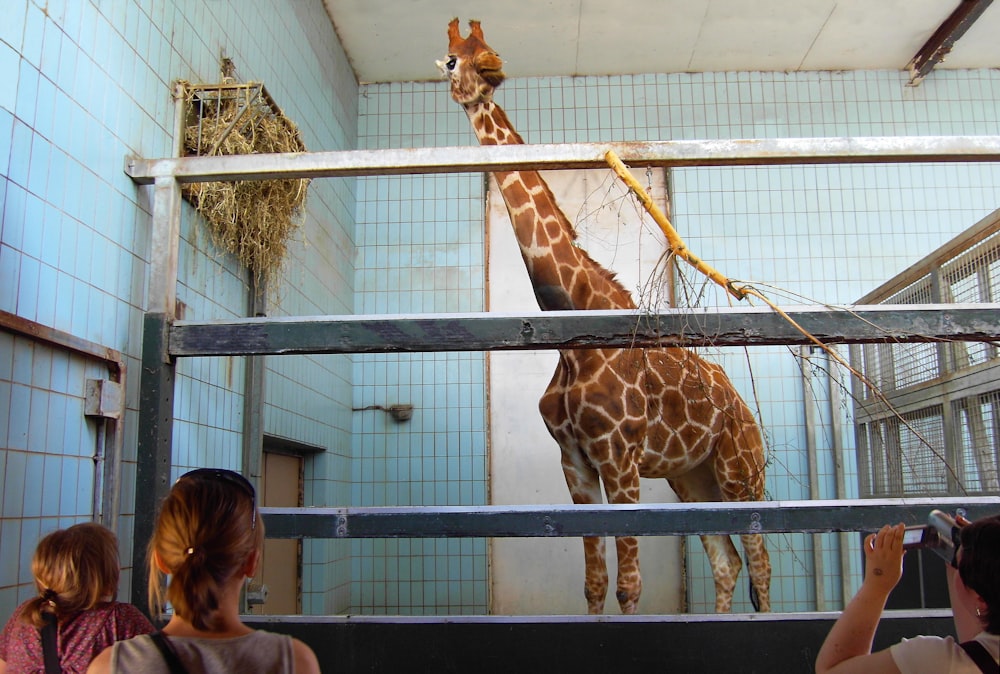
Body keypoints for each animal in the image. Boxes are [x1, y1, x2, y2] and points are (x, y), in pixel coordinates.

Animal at [438, 17, 772, 616]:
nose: (487, 75)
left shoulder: (619, 457)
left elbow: (628, 584)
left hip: (740, 470)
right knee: (727, 561)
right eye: (451, 58)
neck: (574, 337)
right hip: (693, 477)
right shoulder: (574, 460)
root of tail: (743, 408)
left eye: (486, 52)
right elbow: (594, 582)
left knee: (760, 563)